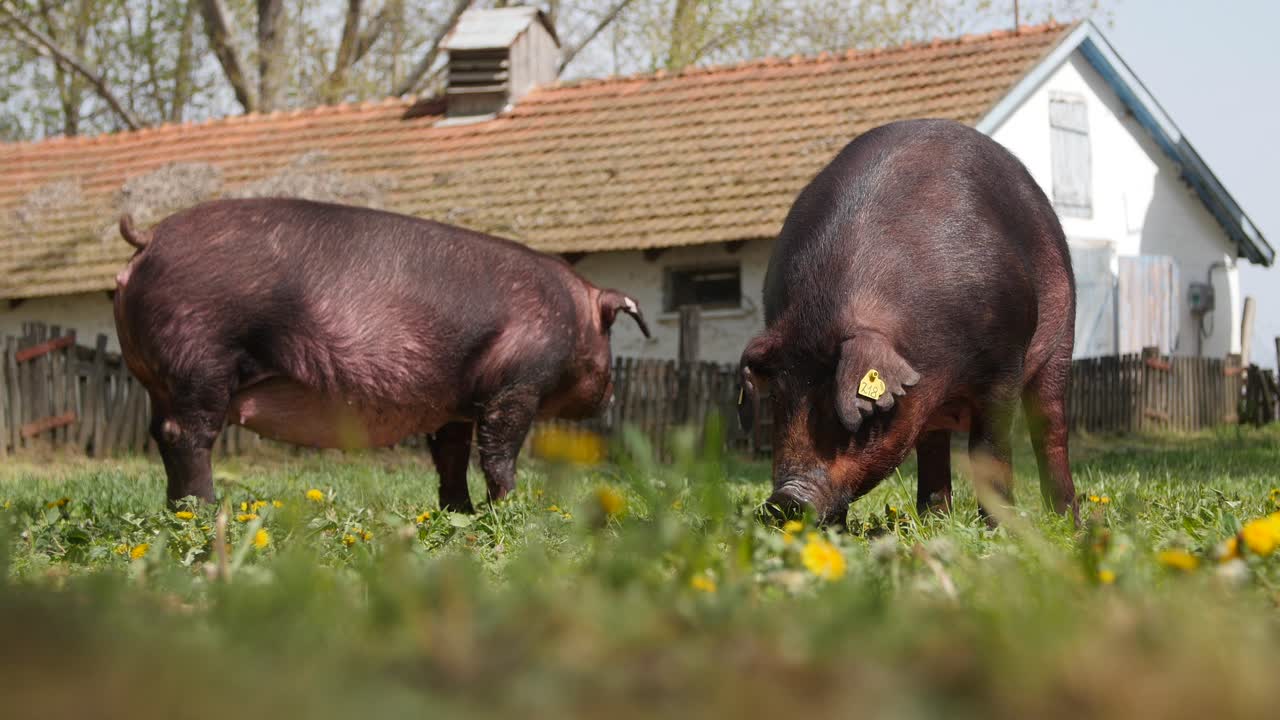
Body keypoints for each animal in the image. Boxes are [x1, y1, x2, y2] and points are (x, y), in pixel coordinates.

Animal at [113, 198, 649, 511]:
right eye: (610, 332)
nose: (612, 395)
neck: (572, 314)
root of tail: (151, 238)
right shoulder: (517, 385)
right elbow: (498, 452)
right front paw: (509, 510)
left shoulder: (454, 406)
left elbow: (450, 458)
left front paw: (459, 514)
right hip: (200, 359)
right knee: (186, 436)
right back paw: (204, 511)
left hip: (166, 378)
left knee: (161, 434)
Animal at [737, 119, 1077, 527]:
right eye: (778, 399)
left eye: (848, 410)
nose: (784, 499)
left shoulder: (1005, 360)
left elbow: (989, 449)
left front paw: (999, 529)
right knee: (932, 443)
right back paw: (934, 522)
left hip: (1063, 333)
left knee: (1051, 426)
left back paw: (1068, 521)